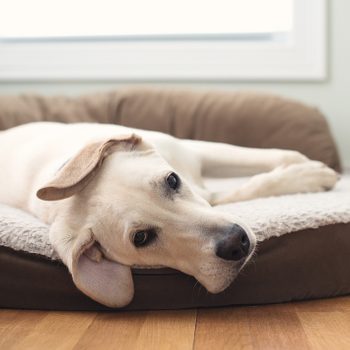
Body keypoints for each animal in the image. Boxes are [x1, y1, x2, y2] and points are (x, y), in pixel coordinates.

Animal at [0, 122, 340, 306]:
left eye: (172, 180)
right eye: (141, 238)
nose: (236, 243)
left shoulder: (195, 153)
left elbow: (269, 158)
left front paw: (308, 169)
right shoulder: (211, 193)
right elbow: (247, 188)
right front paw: (306, 178)